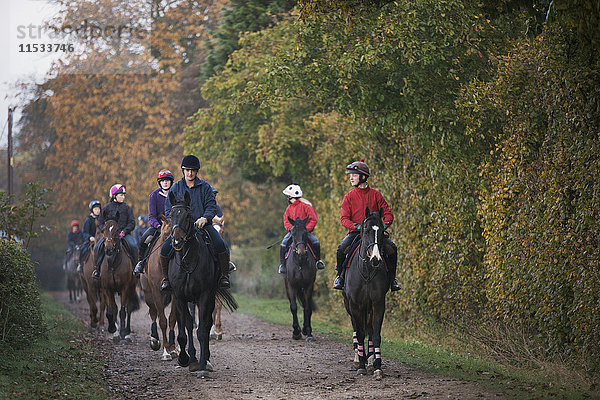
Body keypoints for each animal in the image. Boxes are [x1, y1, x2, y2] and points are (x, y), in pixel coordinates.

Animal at [139, 216, 177, 360]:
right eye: (166, 234)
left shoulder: (175, 293)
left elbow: (172, 319)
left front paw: (173, 348)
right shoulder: (156, 292)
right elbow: (162, 321)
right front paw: (166, 351)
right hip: (148, 294)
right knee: (153, 312)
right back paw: (154, 340)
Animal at [168, 191, 238, 378]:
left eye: (188, 216)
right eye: (171, 215)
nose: (177, 241)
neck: (188, 261)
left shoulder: (205, 295)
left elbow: (202, 330)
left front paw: (202, 367)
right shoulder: (179, 297)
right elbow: (184, 330)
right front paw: (186, 359)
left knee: (205, 324)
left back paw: (205, 359)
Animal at [344, 208, 392, 380]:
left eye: (382, 231)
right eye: (365, 230)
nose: (376, 259)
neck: (367, 271)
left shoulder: (378, 303)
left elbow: (375, 334)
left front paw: (377, 366)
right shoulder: (355, 305)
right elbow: (359, 334)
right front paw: (361, 366)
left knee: (370, 331)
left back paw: (370, 360)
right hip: (350, 306)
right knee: (357, 330)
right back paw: (359, 359)